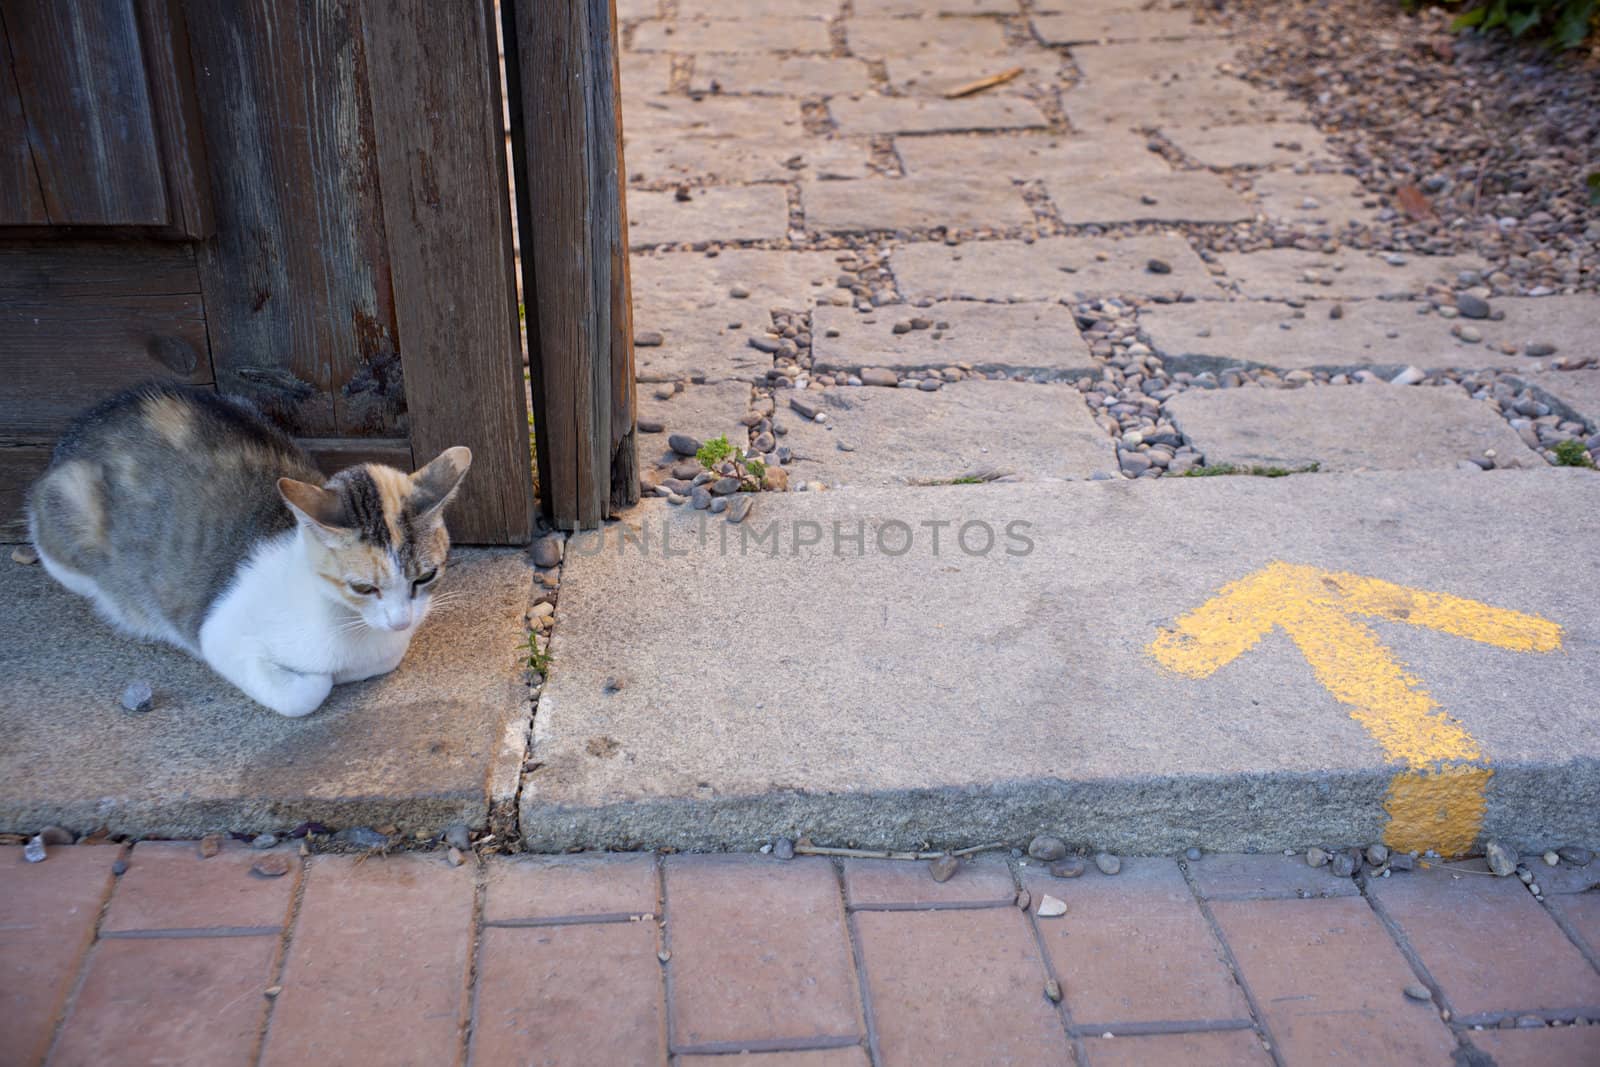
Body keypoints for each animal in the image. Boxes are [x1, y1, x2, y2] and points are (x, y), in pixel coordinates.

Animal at [26, 383, 467, 716]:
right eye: (363, 588)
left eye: (426, 576)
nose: (401, 621)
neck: (351, 628)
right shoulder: (217, 633)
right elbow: (304, 693)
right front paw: (312, 677)